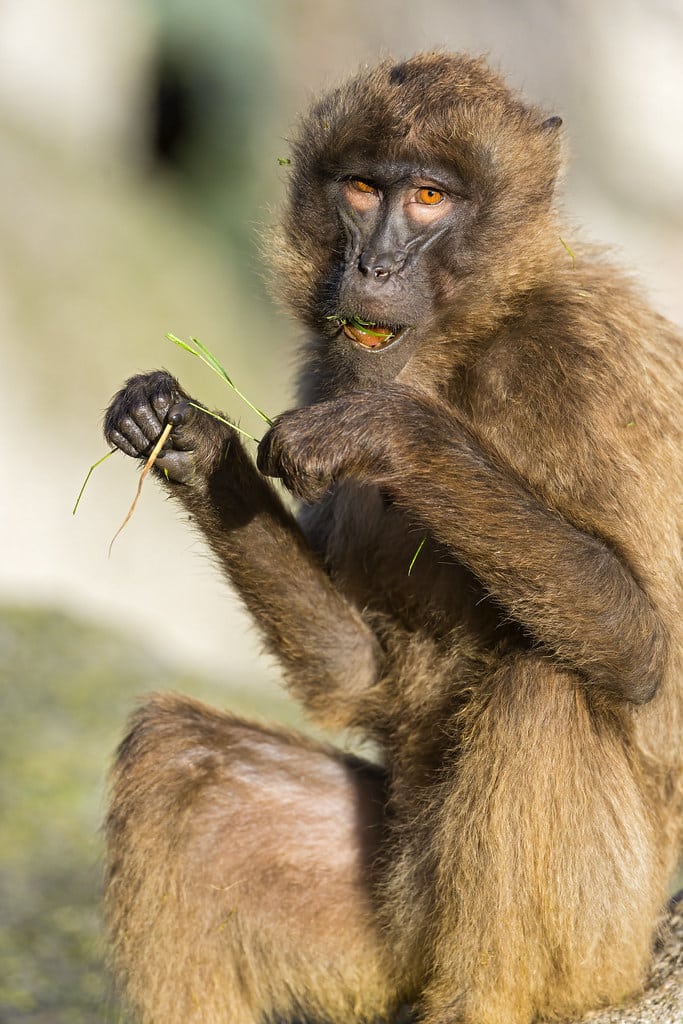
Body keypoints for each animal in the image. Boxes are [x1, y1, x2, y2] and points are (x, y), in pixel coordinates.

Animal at [102, 52, 683, 1024]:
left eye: (429, 199)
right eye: (364, 187)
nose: (372, 265)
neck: (463, 346)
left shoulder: (590, 363)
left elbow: (645, 649)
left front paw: (387, 433)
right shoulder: (325, 364)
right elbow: (353, 672)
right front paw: (188, 438)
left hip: (602, 944)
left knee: (546, 685)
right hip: (384, 933)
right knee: (178, 763)